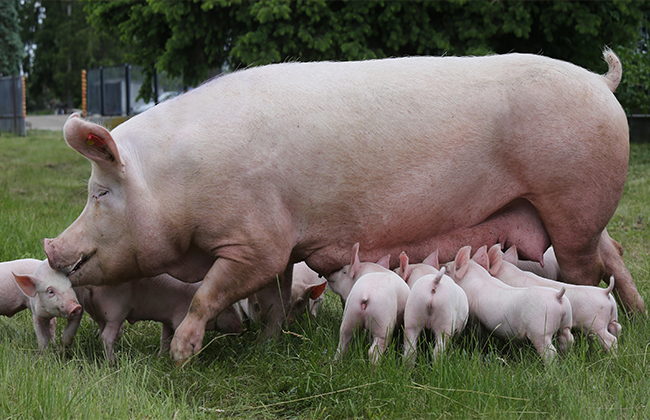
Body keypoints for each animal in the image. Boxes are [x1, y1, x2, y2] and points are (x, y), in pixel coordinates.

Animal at [45, 49, 644, 362]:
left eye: (100, 193)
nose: (52, 248)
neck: (182, 183)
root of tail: (601, 80)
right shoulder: (278, 246)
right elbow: (272, 299)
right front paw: (270, 344)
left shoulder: (256, 241)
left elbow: (211, 293)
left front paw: (180, 357)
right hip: (575, 213)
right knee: (613, 252)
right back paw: (638, 316)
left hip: (573, 202)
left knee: (587, 270)